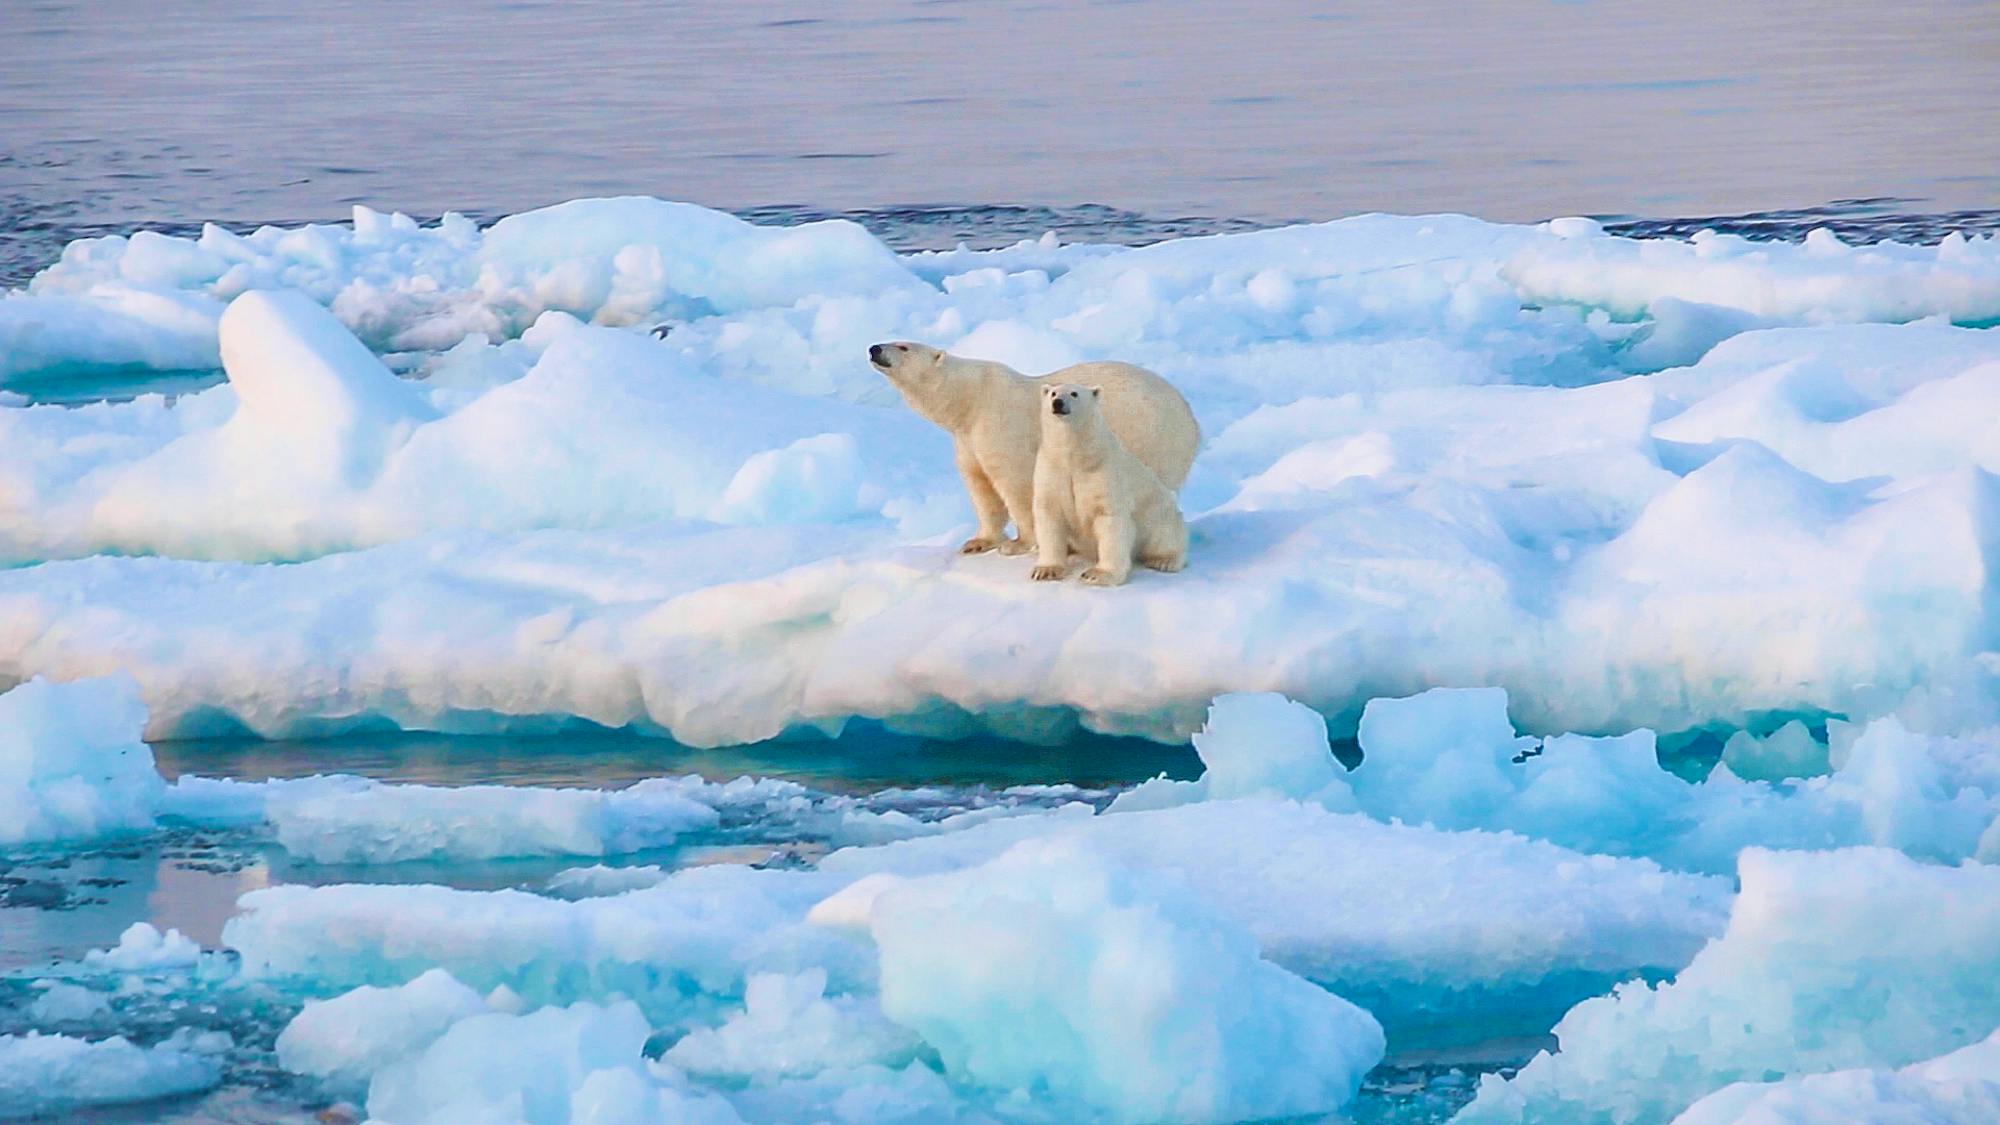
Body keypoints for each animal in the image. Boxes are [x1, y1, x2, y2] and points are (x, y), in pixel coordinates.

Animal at [868, 340, 1192, 552]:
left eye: (903, 346)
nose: (874, 348)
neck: (970, 398)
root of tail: (1193, 422)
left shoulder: (1000, 425)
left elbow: (1016, 485)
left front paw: (1019, 544)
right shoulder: (968, 439)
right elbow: (981, 488)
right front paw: (978, 541)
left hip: (1151, 436)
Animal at [1032, 380, 1184, 580]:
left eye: (1074, 393)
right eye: (1053, 393)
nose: (1058, 403)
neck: (1076, 458)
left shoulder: (1104, 473)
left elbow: (1110, 519)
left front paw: (1097, 574)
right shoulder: (1052, 470)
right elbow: (1050, 514)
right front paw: (1045, 570)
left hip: (1160, 516)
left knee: (1165, 536)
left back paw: (1164, 561)